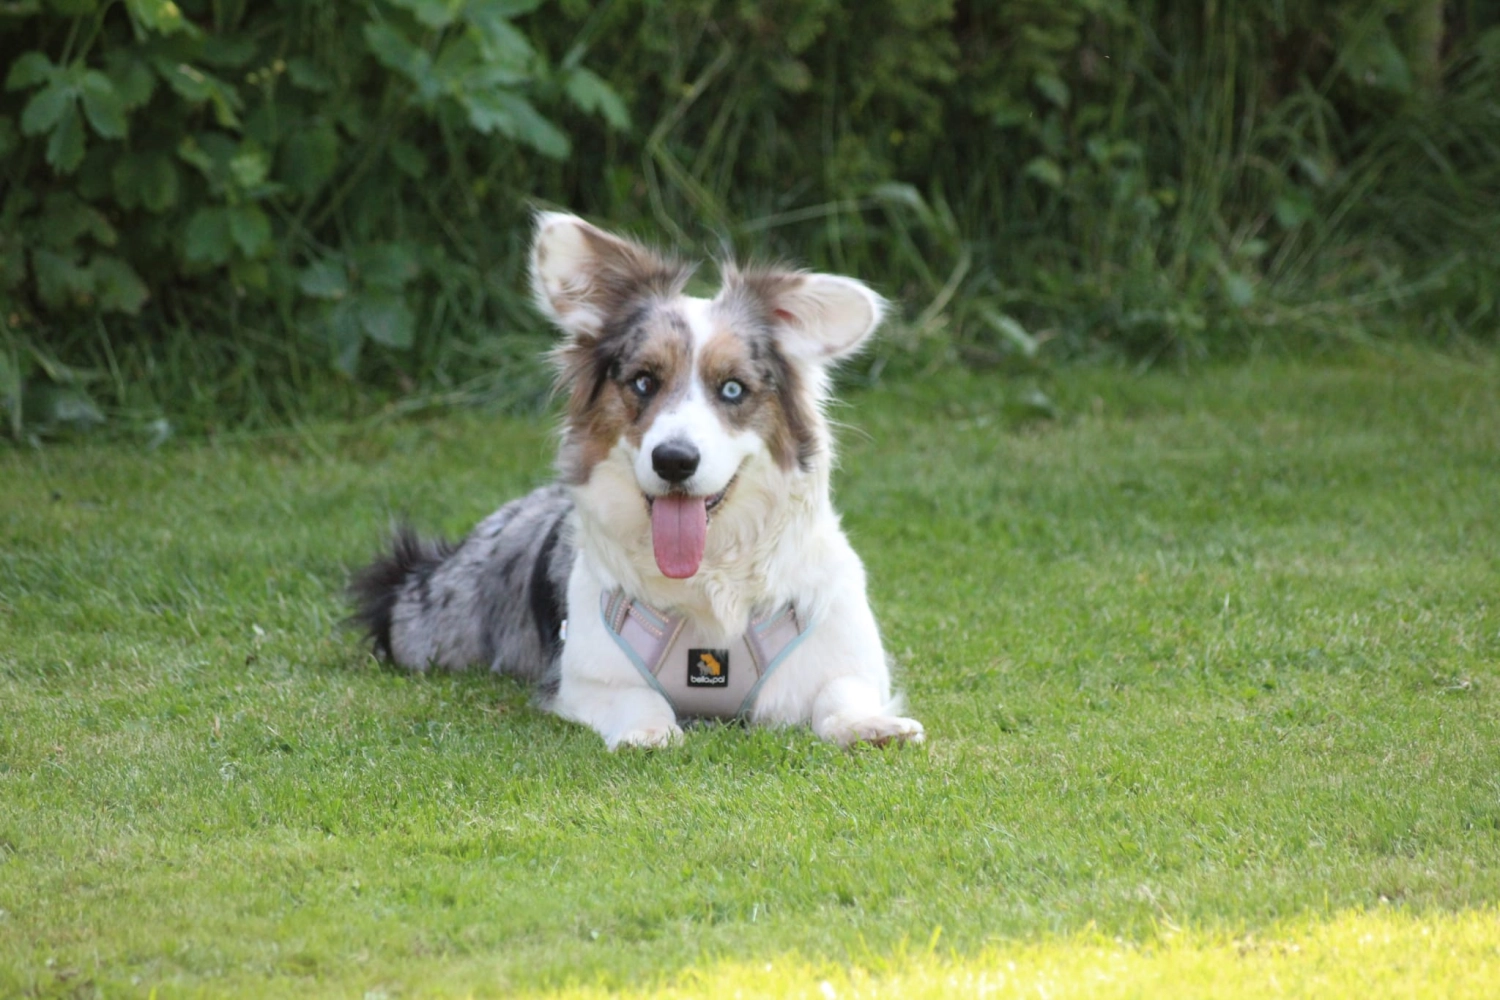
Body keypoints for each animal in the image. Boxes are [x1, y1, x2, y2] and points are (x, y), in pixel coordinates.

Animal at [351, 217, 918, 749]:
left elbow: (841, 692)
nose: (674, 460)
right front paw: (649, 732)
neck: (708, 582)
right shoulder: (582, 678)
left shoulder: (843, 652)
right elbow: (639, 696)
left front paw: (869, 726)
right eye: (644, 381)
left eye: (733, 389)